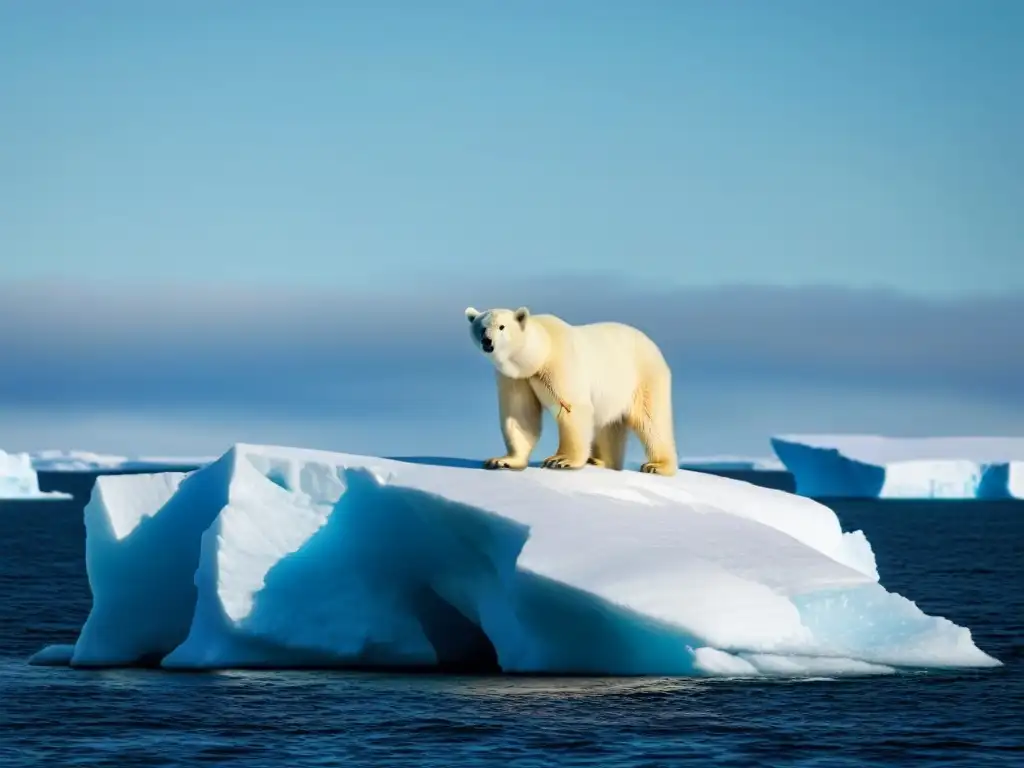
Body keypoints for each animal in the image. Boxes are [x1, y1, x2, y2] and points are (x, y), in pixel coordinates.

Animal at [466, 305, 675, 475]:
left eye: (502, 327)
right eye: (481, 327)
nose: (487, 341)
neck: (540, 353)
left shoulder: (560, 365)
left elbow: (571, 408)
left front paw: (560, 460)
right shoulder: (517, 379)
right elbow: (520, 414)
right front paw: (503, 461)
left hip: (643, 378)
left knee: (651, 420)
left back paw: (657, 465)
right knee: (607, 426)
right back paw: (598, 461)